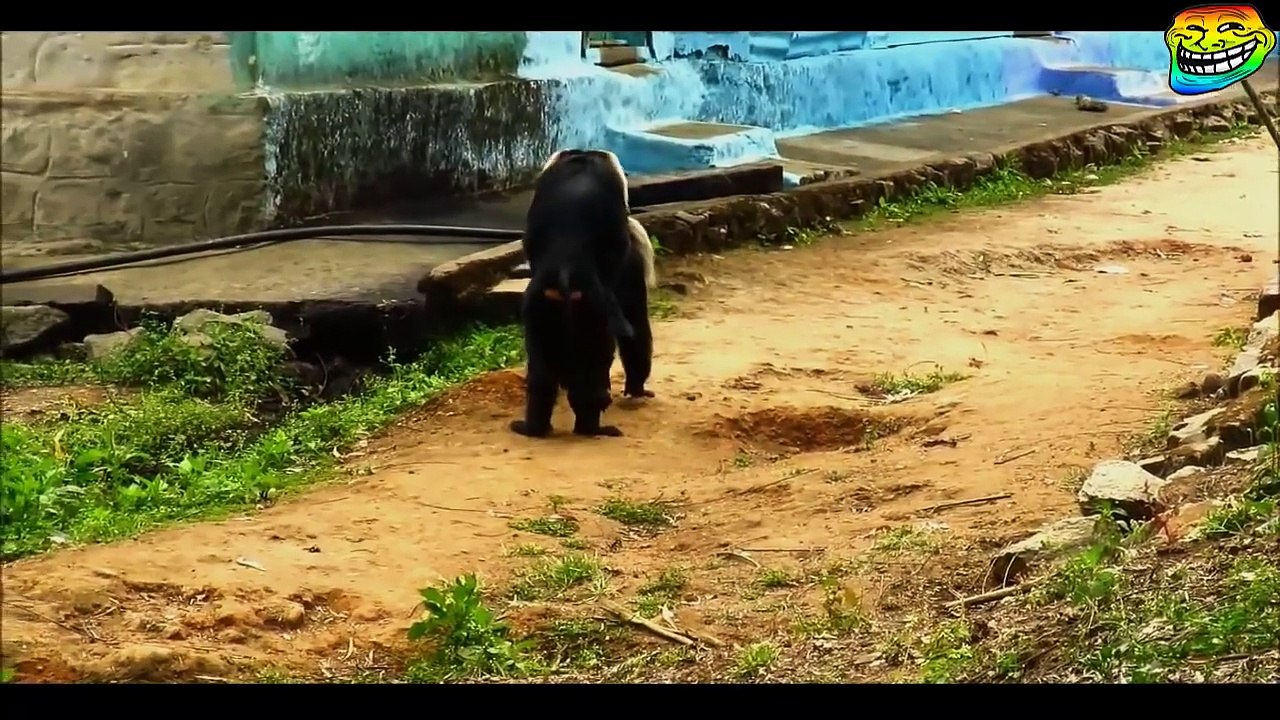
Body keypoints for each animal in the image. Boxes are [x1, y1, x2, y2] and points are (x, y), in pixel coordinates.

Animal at [510, 149, 657, 439]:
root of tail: (565, 270)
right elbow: (634, 321)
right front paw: (636, 387)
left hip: (541, 309)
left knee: (542, 377)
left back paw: (534, 427)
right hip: (591, 313)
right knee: (592, 371)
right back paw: (591, 426)